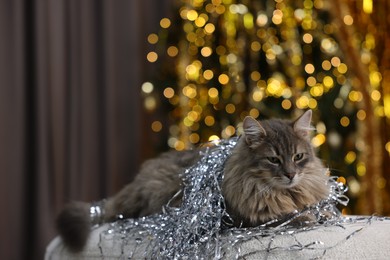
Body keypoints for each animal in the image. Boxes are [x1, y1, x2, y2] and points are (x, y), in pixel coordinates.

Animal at [56, 110, 330, 252]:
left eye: (298, 157)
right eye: (273, 159)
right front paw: (307, 216)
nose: (291, 174)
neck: (282, 192)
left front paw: (324, 212)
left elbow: (317, 207)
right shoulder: (243, 218)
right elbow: (287, 216)